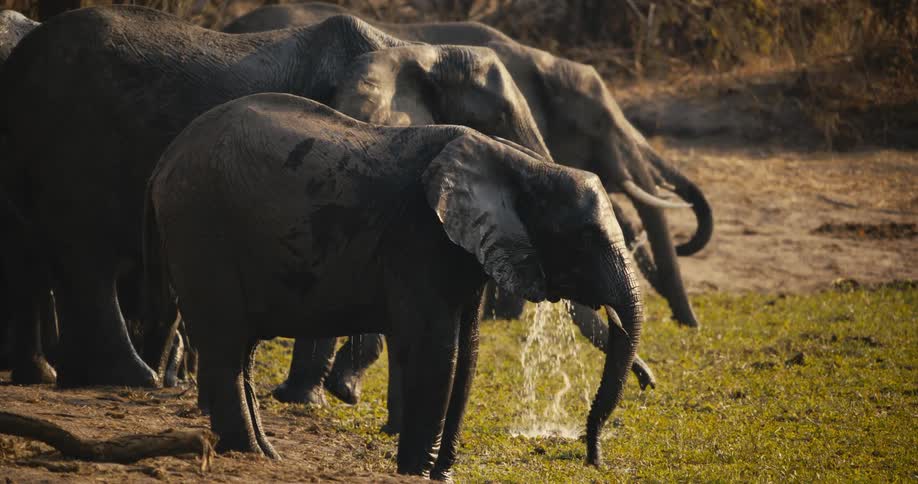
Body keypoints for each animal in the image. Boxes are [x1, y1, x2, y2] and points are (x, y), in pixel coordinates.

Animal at [146, 92, 644, 474]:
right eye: (585, 238)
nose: (594, 459)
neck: (520, 163)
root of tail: (163, 161)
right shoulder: (419, 236)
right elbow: (436, 349)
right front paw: (418, 473)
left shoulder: (465, 248)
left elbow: (468, 350)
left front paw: (441, 474)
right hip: (201, 226)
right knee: (227, 344)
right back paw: (249, 453)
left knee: (241, 348)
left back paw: (266, 455)